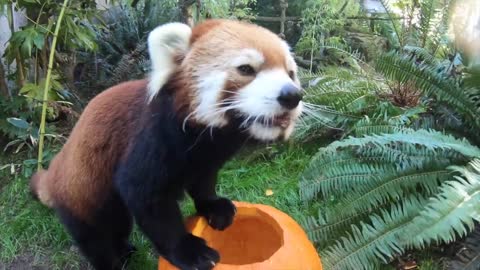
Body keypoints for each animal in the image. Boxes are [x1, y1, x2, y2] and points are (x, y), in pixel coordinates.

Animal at [29, 19, 304, 270]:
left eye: (291, 74)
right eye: (246, 69)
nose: (292, 95)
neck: (207, 139)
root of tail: (55, 169)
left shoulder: (206, 159)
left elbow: (204, 182)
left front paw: (214, 206)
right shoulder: (153, 139)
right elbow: (147, 199)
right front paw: (189, 251)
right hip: (83, 192)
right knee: (97, 238)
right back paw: (112, 260)